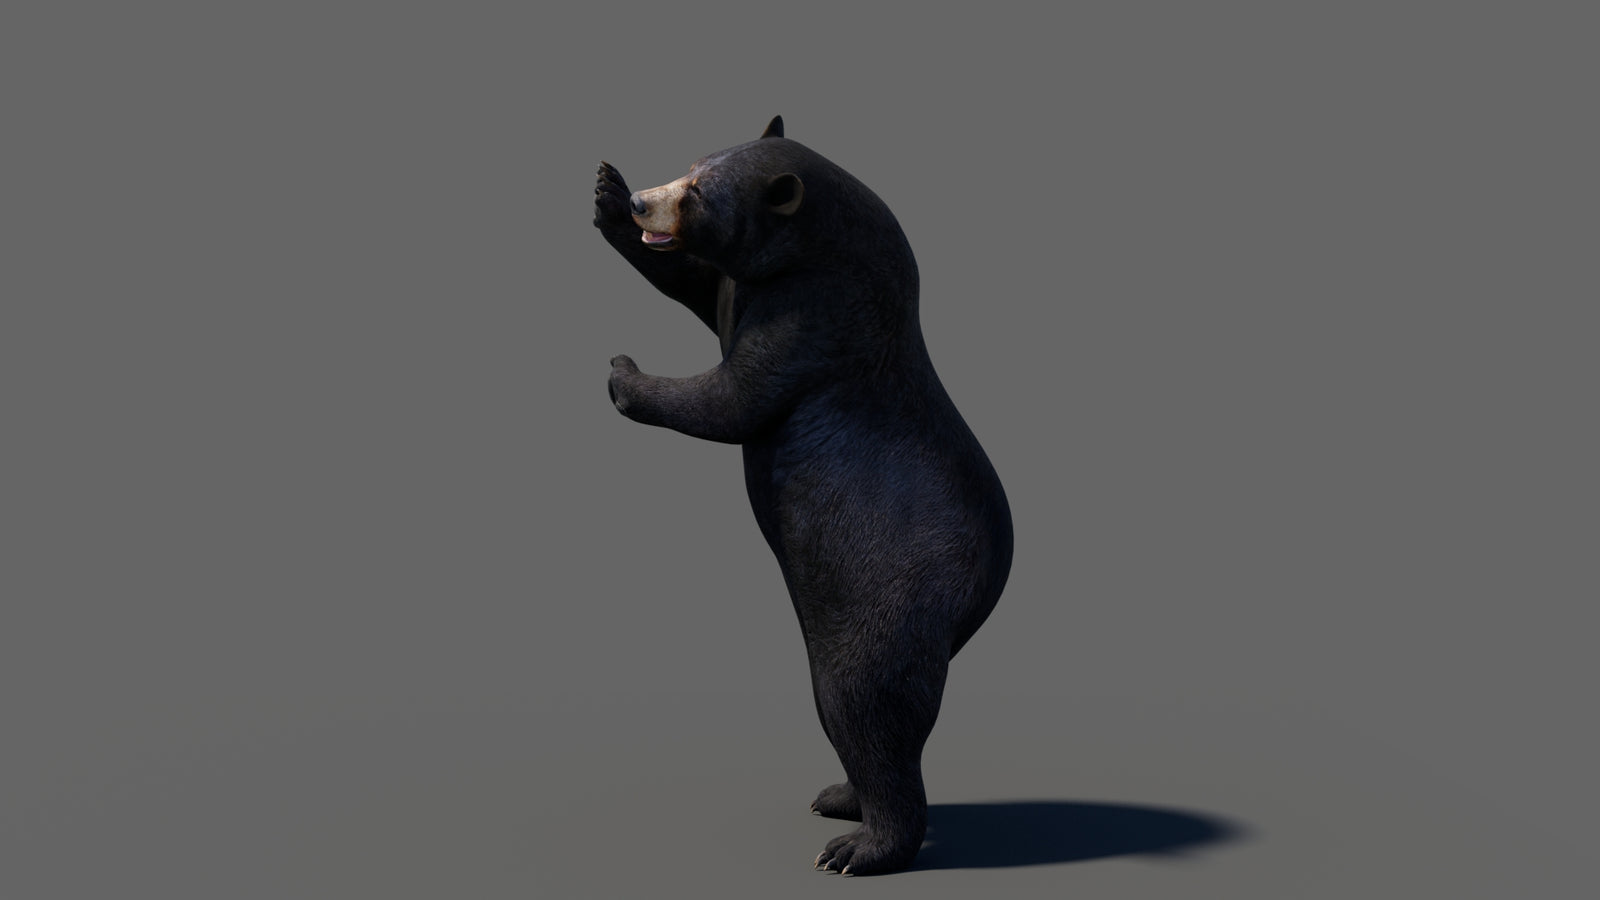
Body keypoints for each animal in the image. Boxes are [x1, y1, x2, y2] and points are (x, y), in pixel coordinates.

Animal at [593, 116, 1012, 876]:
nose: (645, 203)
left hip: (889, 599)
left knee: (864, 704)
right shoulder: (758, 287)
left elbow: (734, 399)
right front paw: (606, 193)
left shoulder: (819, 317)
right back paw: (841, 796)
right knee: (850, 715)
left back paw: (861, 847)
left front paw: (623, 372)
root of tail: (982, 594)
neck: (820, 252)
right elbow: (696, 285)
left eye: (699, 194)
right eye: (689, 165)